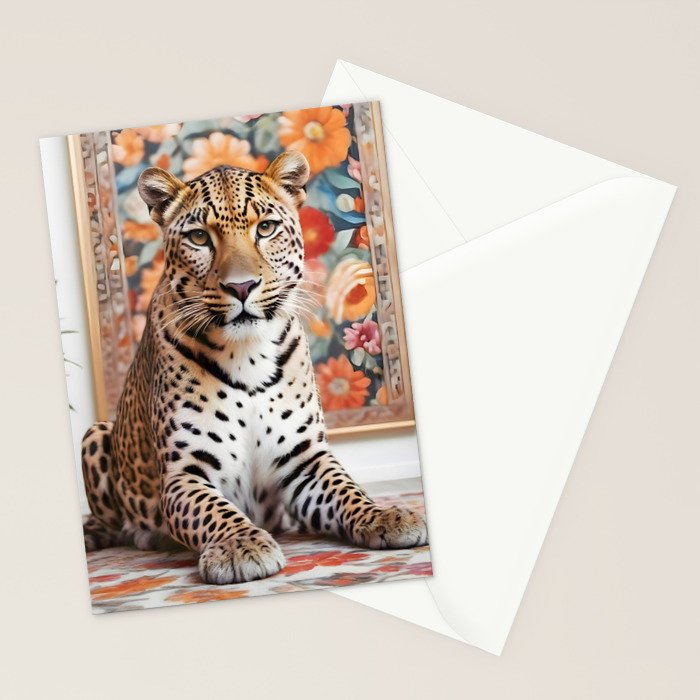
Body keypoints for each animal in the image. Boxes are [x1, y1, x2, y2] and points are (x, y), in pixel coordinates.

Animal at [80, 150, 427, 584]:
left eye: (265, 228)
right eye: (199, 238)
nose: (241, 287)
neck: (247, 355)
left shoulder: (304, 458)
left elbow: (348, 489)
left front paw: (385, 515)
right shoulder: (184, 473)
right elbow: (212, 510)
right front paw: (240, 546)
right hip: (94, 433)